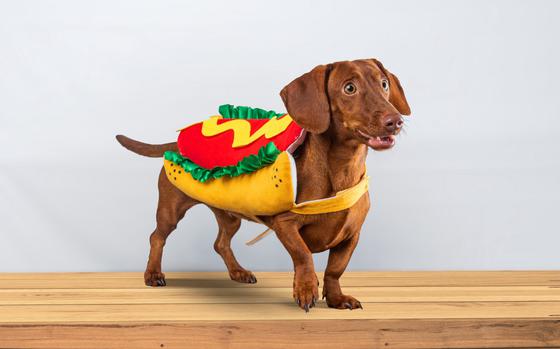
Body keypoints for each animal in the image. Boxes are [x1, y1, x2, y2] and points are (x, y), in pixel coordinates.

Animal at [116, 58, 410, 312]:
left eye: (384, 83)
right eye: (349, 88)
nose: (395, 121)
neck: (341, 170)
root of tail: (175, 145)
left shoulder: (351, 236)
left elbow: (335, 270)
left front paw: (336, 298)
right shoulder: (285, 224)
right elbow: (304, 256)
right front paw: (306, 289)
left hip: (230, 215)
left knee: (221, 243)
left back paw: (238, 272)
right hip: (171, 209)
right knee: (157, 237)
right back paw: (153, 273)